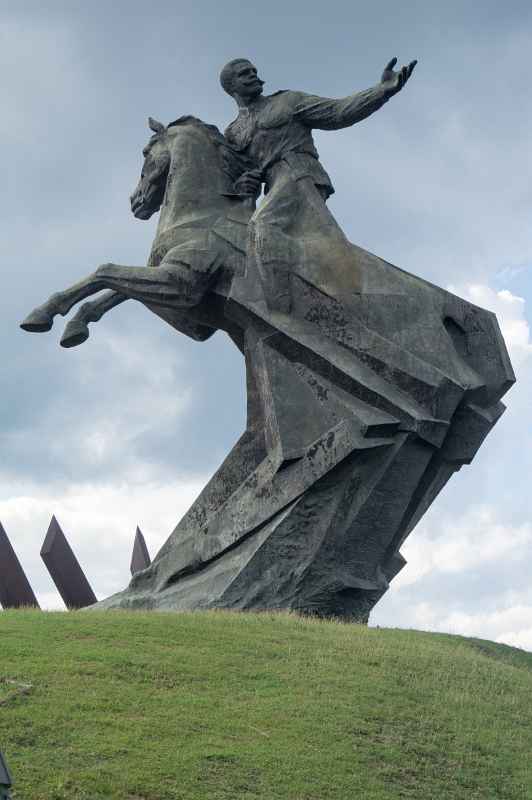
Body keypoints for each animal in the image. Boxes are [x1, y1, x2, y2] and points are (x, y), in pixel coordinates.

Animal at [21, 115, 254, 344]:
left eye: (145, 152)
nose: (134, 200)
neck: (199, 216)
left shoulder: (181, 282)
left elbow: (105, 271)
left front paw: (46, 313)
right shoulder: (185, 305)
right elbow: (116, 290)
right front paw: (75, 323)